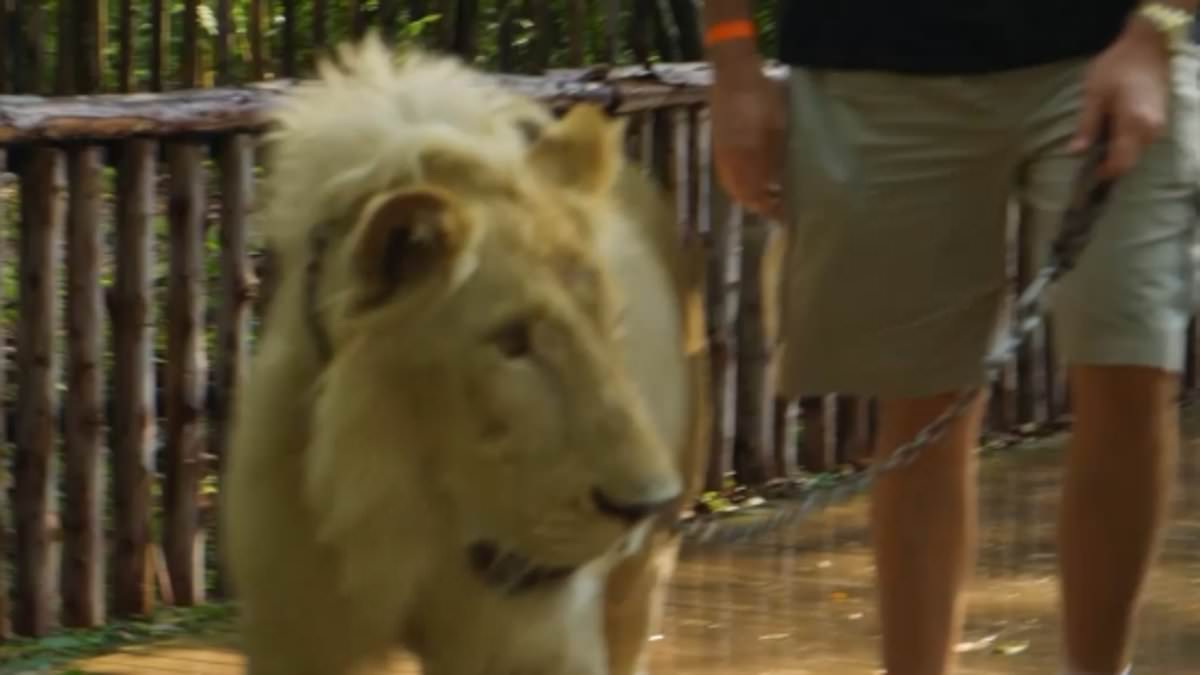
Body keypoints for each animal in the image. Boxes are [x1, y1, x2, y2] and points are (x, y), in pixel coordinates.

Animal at [221, 34, 710, 675]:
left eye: (614, 323)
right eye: (512, 341)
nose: (648, 503)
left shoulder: (533, 637)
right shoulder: (298, 637)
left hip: (641, 578)